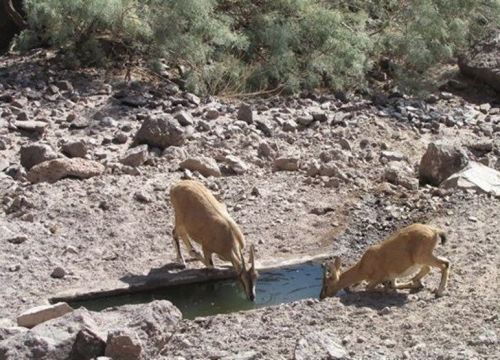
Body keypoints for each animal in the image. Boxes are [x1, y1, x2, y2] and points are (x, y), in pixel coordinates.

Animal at [322, 224, 452, 300]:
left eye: (327, 285)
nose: (323, 296)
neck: (363, 268)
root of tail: (434, 231)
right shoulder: (392, 275)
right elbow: (394, 284)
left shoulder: (378, 277)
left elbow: (368, 288)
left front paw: (386, 290)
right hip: (423, 257)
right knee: (438, 264)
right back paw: (417, 283)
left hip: (422, 256)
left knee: (443, 265)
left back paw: (439, 292)